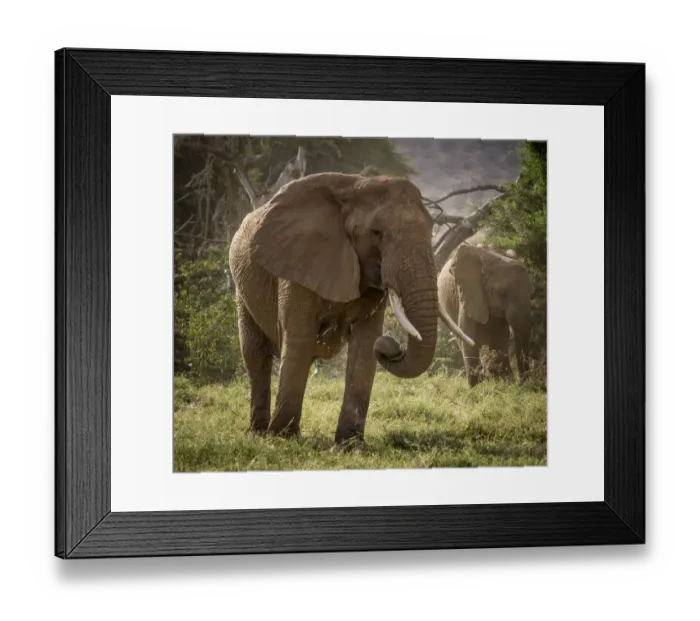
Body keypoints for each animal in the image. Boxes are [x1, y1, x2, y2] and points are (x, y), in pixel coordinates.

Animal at [229, 172, 474, 445]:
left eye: (431, 227)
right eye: (376, 233)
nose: (391, 347)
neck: (355, 186)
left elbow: (365, 345)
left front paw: (349, 445)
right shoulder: (297, 264)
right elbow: (299, 339)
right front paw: (283, 438)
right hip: (242, 288)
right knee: (256, 355)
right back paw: (259, 433)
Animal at [438, 243, 534, 387]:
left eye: (531, 293)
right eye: (502, 294)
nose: (522, 382)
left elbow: (499, 338)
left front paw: (503, 382)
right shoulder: (469, 292)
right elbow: (468, 337)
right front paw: (477, 387)